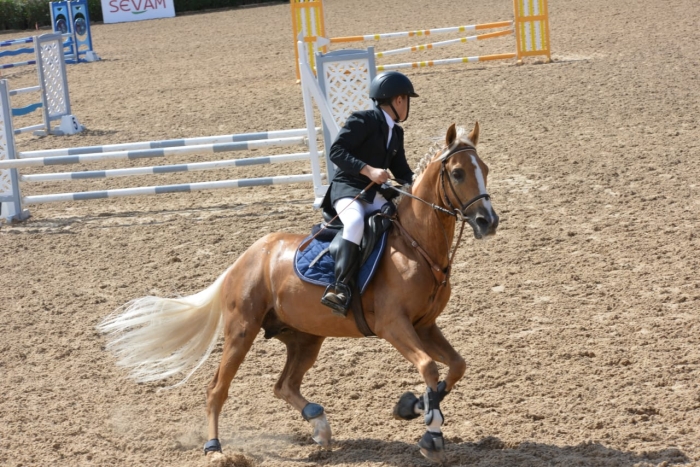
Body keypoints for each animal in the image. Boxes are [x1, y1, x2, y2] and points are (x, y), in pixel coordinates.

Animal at [97, 121, 499, 463]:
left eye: (485, 168)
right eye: (458, 172)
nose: (488, 221)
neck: (416, 246)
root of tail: (245, 258)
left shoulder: (425, 326)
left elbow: (455, 367)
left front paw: (415, 407)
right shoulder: (394, 326)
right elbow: (430, 367)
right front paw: (430, 431)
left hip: (305, 337)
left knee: (284, 385)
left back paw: (319, 425)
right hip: (242, 331)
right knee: (217, 389)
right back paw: (215, 448)